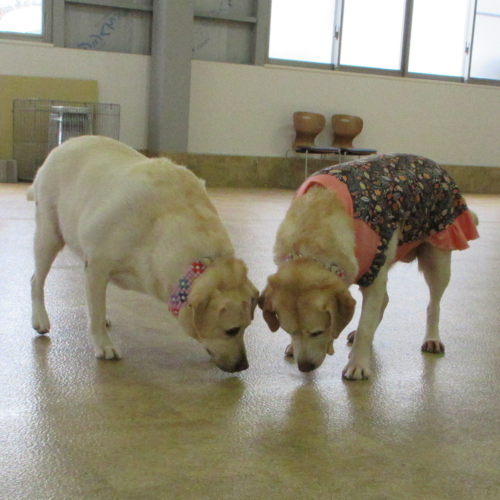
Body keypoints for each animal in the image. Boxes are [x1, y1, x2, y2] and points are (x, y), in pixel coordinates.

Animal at [28, 136, 258, 373]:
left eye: (247, 327)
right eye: (232, 330)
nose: (244, 366)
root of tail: (64, 143)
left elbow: (97, 306)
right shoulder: (97, 267)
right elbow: (96, 312)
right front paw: (103, 344)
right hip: (49, 236)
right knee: (37, 280)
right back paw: (40, 318)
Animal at [259, 153, 479, 380]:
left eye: (318, 332)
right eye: (288, 331)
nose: (304, 367)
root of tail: (433, 163)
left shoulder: (374, 274)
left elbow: (366, 325)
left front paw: (358, 364)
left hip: (437, 259)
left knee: (433, 305)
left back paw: (432, 338)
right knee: (385, 301)